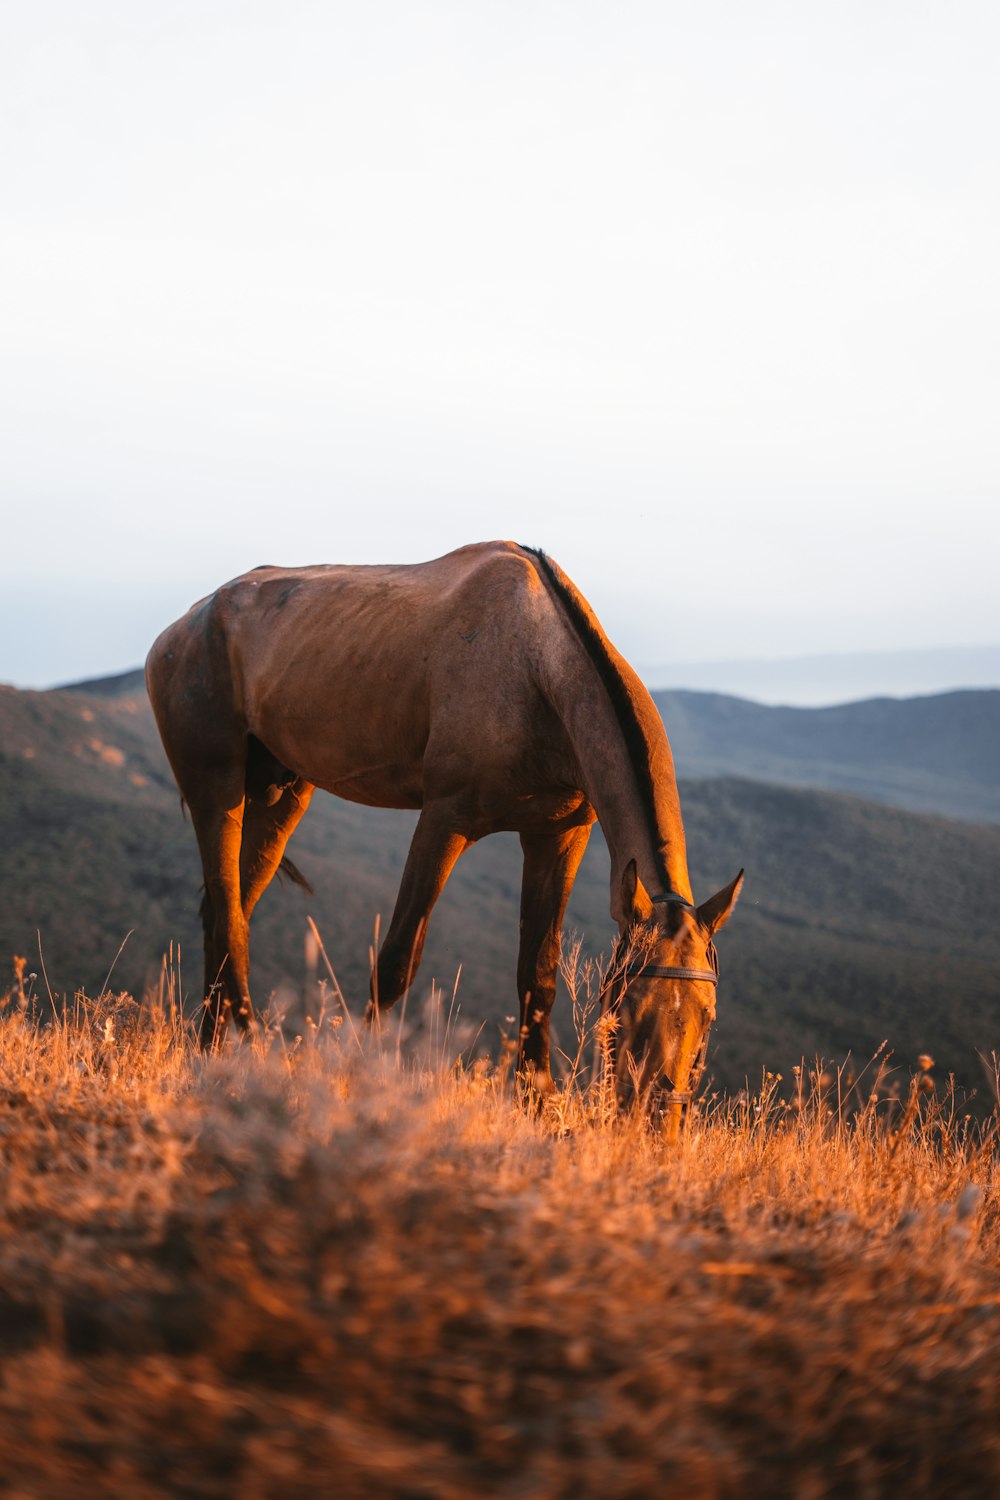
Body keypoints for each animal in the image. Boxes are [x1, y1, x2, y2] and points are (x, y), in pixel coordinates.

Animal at [146, 546, 743, 1110]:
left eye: (708, 1017)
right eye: (627, 1005)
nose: (657, 1119)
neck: (538, 670)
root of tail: (181, 626)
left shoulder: (558, 837)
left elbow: (538, 972)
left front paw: (536, 1100)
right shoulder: (444, 821)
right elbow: (395, 963)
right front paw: (354, 1077)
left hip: (282, 794)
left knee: (225, 911)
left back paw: (211, 1052)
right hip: (217, 790)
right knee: (228, 917)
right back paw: (248, 1050)